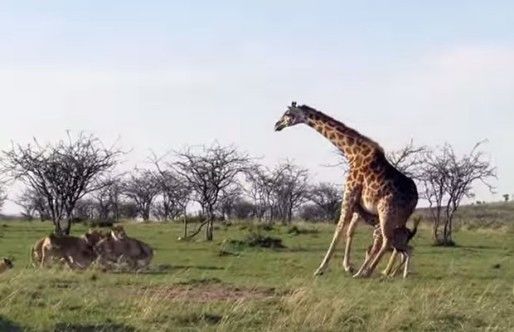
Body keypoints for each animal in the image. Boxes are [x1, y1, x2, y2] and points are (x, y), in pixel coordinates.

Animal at [272, 102, 416, 278]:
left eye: (287, 113)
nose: (277, 125)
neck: (352, 153)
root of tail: (415, 198)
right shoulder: (357, 203)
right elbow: (349, 231)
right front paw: (348, 266)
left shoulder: (349, 193)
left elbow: (339, 229)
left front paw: (321, 269)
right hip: (399, 217)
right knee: (395, 241)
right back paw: (386, 272)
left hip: (386, 211)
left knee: (387, 240)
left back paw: (367, 272)